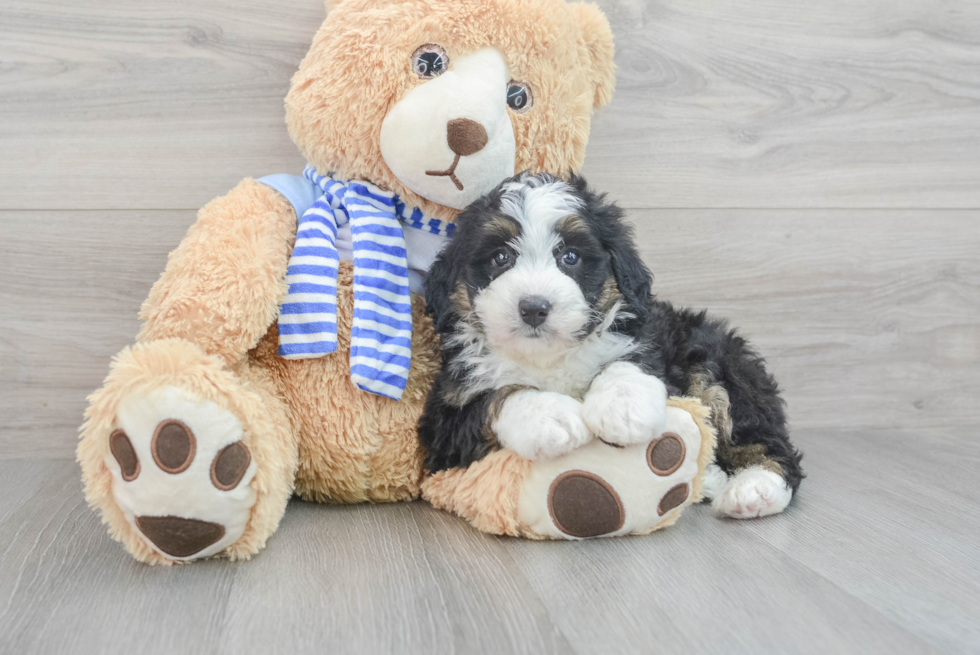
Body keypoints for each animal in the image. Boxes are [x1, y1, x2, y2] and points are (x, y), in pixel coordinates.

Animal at [420, 172, 804, 520]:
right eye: (500, 258)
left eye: (570, 257)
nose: (534, 308)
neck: (550, 357)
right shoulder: (444, 421)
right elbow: (498, 395)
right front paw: (550, 416)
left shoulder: (649, 342)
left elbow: (628, 361)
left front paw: (624, 408)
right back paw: (709, 478)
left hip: (718, 367)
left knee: (765, 441)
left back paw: (754, 489)